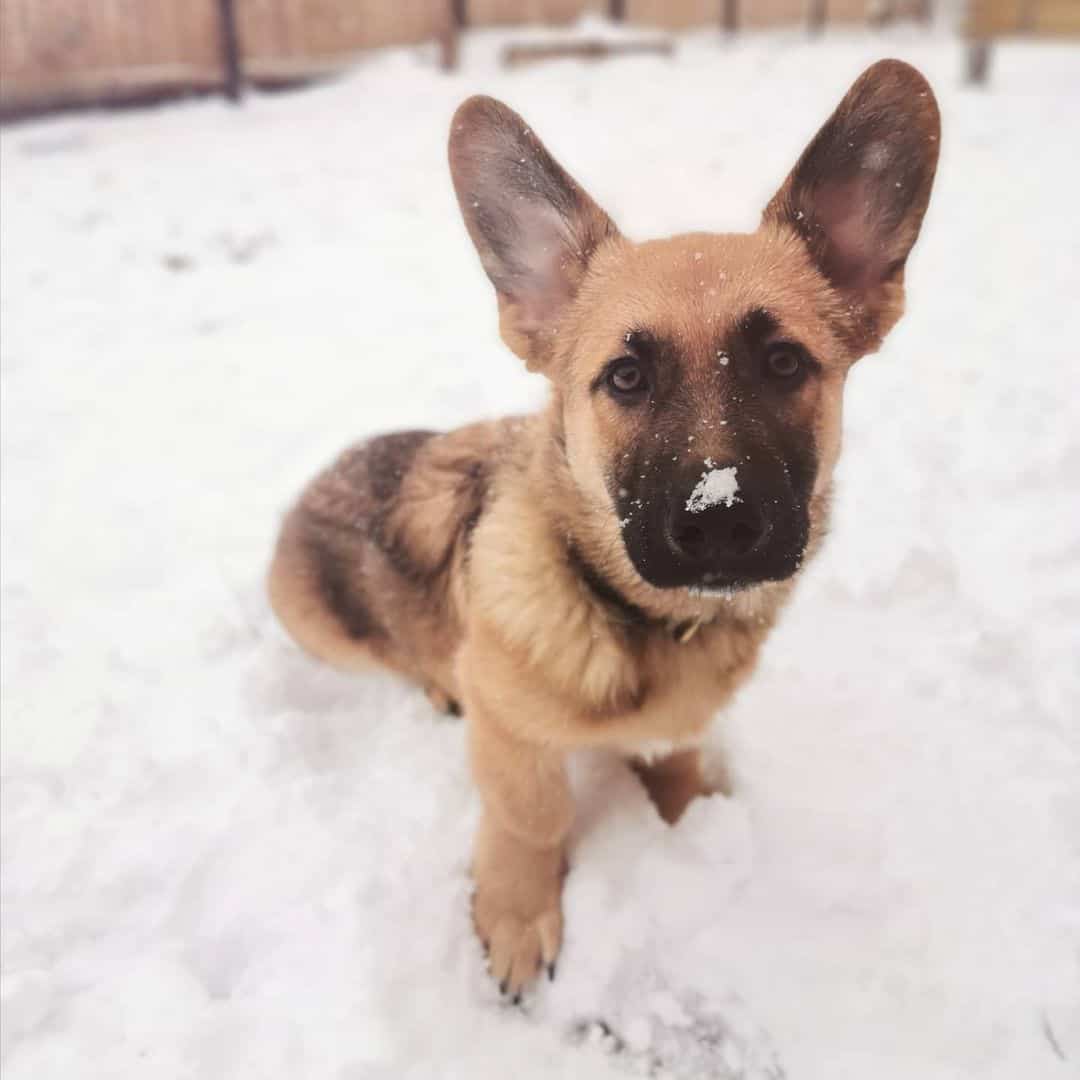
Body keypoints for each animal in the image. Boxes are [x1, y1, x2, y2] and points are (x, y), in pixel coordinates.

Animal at [267, 61, 937, 993]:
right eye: (625, 377)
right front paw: (517, 914)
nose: (721, 523)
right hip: (324, 627)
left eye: (783, 363)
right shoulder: (512, 742)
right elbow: (532, 814)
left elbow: (679, 761)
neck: (644, 625)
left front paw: (687, 820)